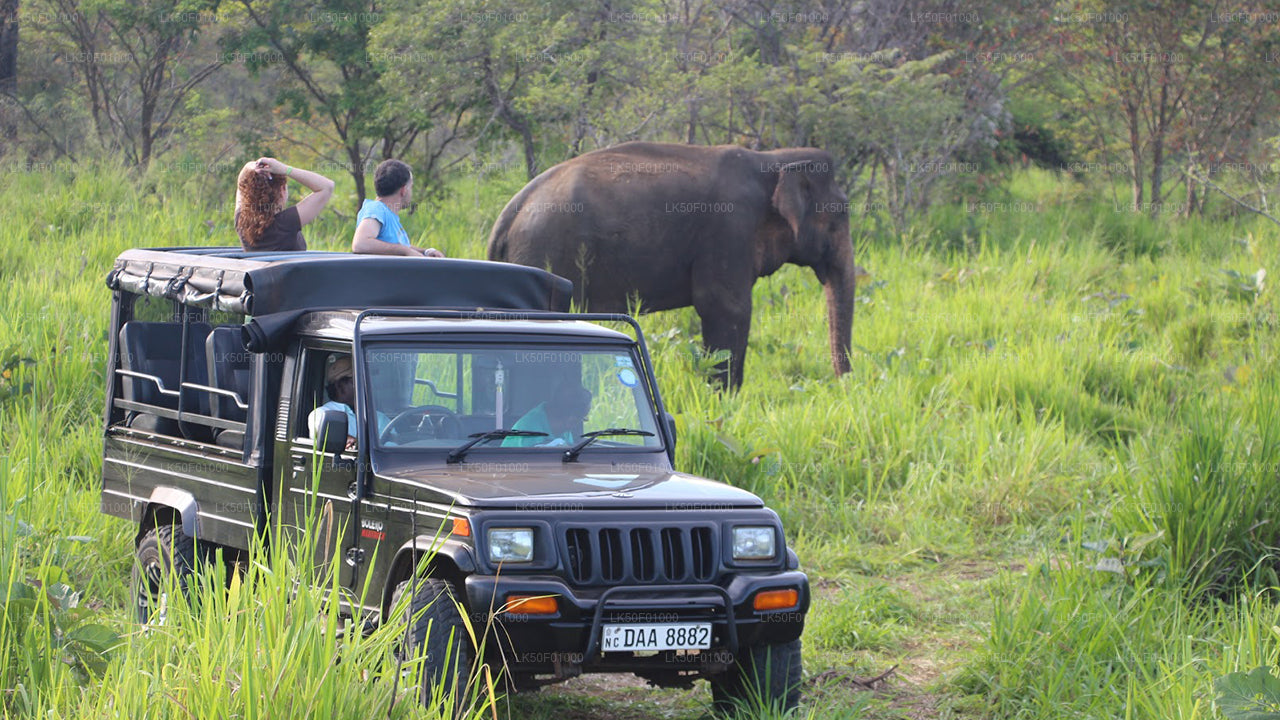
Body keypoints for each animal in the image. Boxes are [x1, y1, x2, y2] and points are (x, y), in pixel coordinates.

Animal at [486, 142, 855, 390]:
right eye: (841, 212)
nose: (843, 389)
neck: (773, 159)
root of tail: (507, 216)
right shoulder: (729, 230)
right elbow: (726, 308)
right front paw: (725, 401)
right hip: (547, 253)